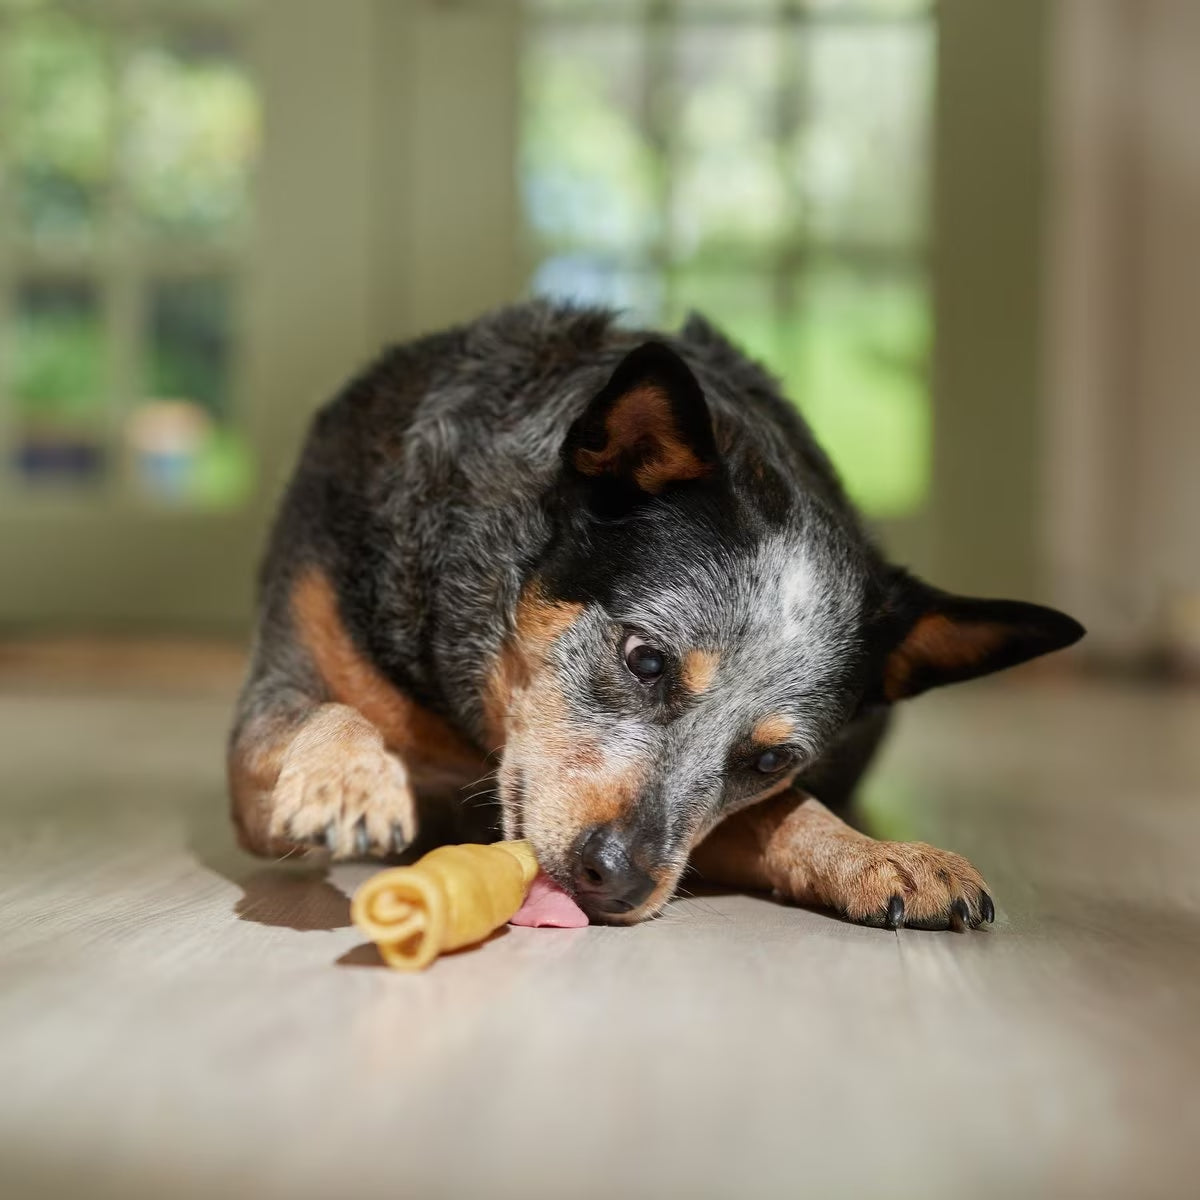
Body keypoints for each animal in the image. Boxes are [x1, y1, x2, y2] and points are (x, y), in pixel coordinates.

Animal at [226, 300, 1089, 926]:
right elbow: (319, 715)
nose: (614, 879)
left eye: (772, 761)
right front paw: (348, 780)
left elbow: (781, 816)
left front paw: (875, 854)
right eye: (645, 659)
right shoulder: (288, 677)